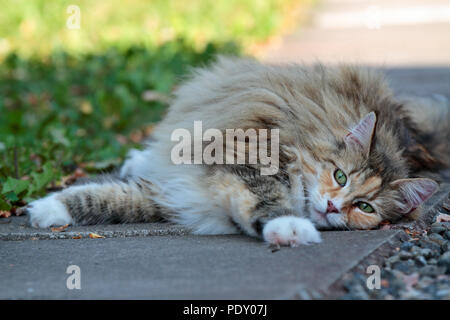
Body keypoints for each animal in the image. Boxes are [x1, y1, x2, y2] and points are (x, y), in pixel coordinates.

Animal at [26, 57, 448, 246]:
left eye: (365, 208)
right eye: (340, 176)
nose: (332, 207)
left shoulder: (183, 193)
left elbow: (116, 200)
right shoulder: (240, 165)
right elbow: (104, 195)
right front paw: (47, 208)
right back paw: (137, 159)